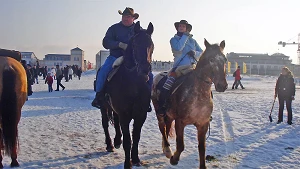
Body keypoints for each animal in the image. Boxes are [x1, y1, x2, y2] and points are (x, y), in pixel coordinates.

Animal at [103, 21, 154, 168]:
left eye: (151, 44)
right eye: (135, 44)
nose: (145, 69)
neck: (133, 83)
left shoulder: (140, 115)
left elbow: (136, 137)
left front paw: (136, 159)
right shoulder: (125, 115)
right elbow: (128, 141)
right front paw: (127, 163)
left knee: (115, 121)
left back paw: (116, 141)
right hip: (104, 107)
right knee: (105, 124)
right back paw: (110, 144)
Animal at [152, 39, 227, 168]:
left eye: (225, 59)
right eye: (211, 59)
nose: (222, 85)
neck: (198, 96)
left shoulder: (203, 124)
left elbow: (202, 148)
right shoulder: (180, 122)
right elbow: (181, 145)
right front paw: (174, 159)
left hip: (169, 115)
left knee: (166, 128)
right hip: (159, 112)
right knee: (162, 127)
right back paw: (167, 149)